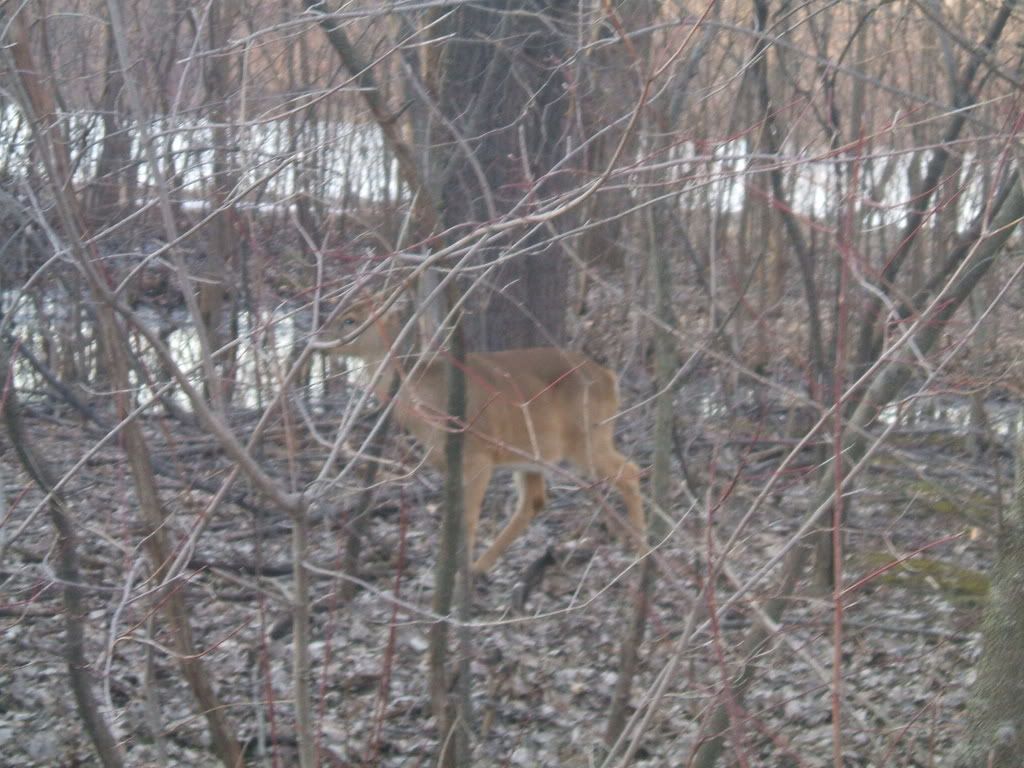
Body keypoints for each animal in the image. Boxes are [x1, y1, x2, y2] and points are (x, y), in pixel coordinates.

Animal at [323, 294, 643, 577]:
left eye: (350, 319)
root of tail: (609, 378)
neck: (426, 396)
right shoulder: (447, 464)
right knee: (534, 501)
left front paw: (455, 575)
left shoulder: (478, 456)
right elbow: (454, 517)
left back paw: (641, 548)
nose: (321, 340)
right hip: (535, 453)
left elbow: (469, 517)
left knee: (629, 470)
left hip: (588, 436)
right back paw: (481, 566)